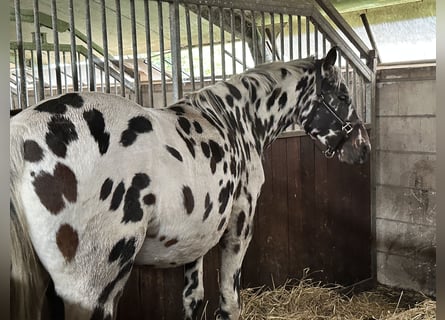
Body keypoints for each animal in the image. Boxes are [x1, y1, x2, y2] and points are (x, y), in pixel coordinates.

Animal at [11, 47, 372, 320]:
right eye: (342, 95)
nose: (364, 148)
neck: (233, 120)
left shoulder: (194, 239)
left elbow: (193, 300)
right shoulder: (240, 225)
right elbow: (229, 300)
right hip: (93, 288)